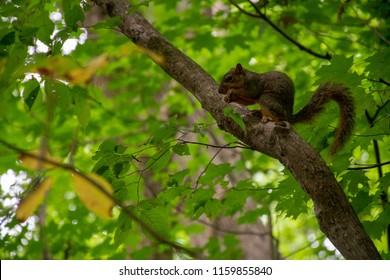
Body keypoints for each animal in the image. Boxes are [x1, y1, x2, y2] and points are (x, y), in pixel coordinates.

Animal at [218, 63, 354, 155]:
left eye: (229, 78)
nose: (219, 90)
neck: (245, 78)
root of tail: (290, 115)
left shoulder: (254, 86)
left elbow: (250, 94)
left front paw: (231, 91)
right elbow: (247, 101)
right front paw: (228, 97)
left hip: (267, 100)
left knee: (278, 116)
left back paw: (267, 117)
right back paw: (258, 112)